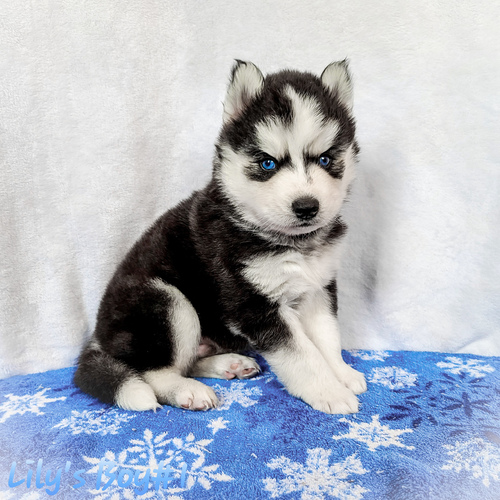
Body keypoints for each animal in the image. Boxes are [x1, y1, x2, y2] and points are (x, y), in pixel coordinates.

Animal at [72, 59, 366, 414]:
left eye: (325, 159)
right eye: (267, 163)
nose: (307, 207)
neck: (287, 242)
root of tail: (98, 339)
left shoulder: (318, 287)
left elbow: (326, 337)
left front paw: (342, 374)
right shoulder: (252, 303)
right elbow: (303, 355)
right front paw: (329, 391)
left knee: (186, 362)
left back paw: (228, 364)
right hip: (165, 301)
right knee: (154, 372)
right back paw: (187, 390)